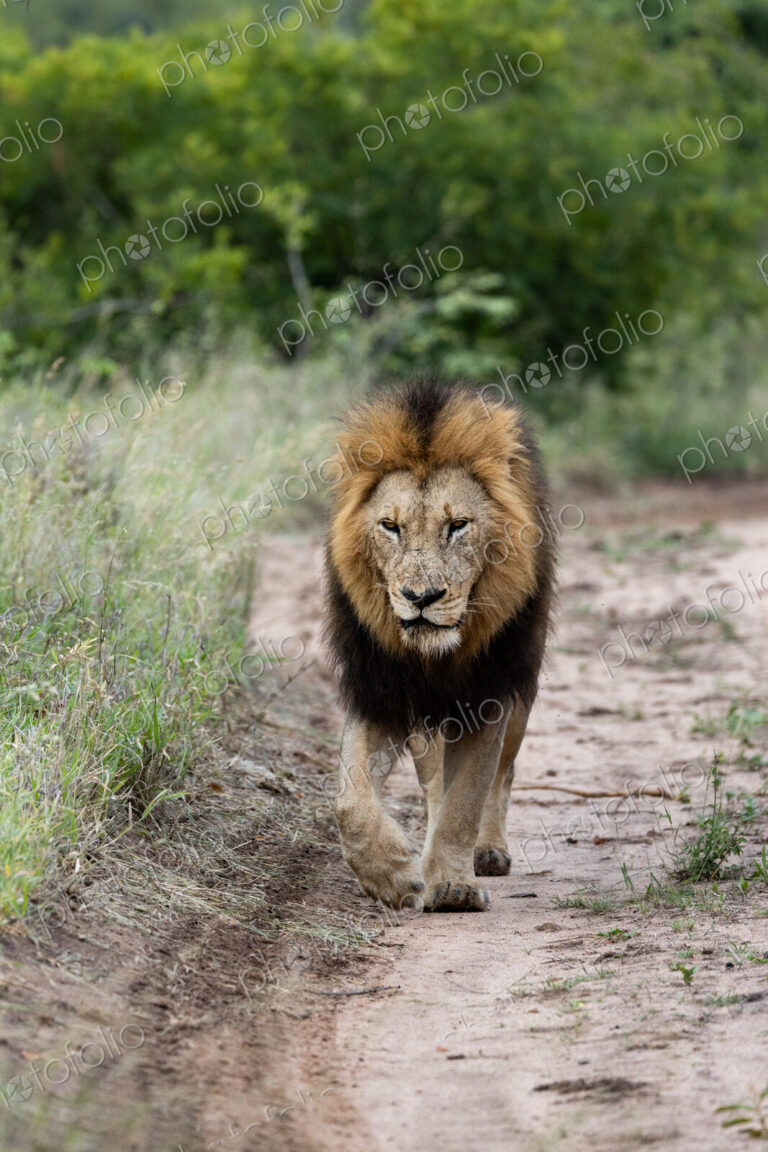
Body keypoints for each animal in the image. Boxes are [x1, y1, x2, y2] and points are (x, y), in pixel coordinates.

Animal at [323, 379, 554, 912]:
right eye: (390, 526)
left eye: (458, 525)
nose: (421, 598)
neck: (435, 658)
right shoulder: (380, 692)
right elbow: (350, 798)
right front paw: (391, 874)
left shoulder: (491, 696)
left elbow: (467, 798)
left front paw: (453, 887)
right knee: (432, 783)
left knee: (502, 775)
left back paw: (486, 853)